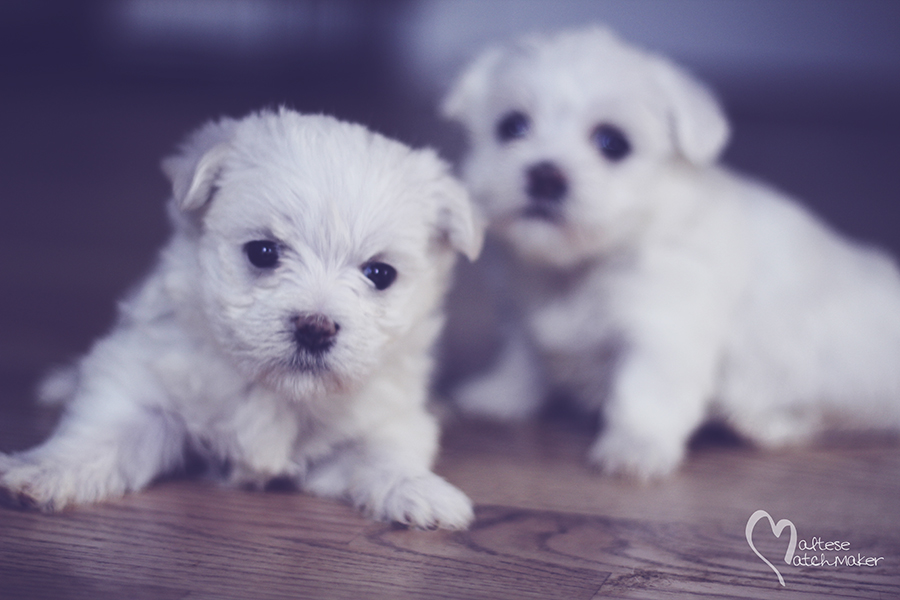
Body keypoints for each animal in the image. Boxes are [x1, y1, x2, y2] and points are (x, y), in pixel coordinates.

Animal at [0, 108, 482, 528]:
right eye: (262, 252)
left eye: (380, 275)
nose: (316, 327)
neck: (276, 391)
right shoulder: (147, 389)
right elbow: (100, 436)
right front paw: (40, 471)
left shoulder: (383, 419)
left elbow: (385, 454)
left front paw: (419, 491)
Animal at [442, 25, 900, 480]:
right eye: (512, 126)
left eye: (613, 143)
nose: (545, 175)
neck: (583, 265)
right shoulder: (522, 312)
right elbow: (522, 356)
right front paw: (498, 394)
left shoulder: (664, 329)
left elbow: (645, 392)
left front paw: (635, 446)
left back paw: (760, 422)